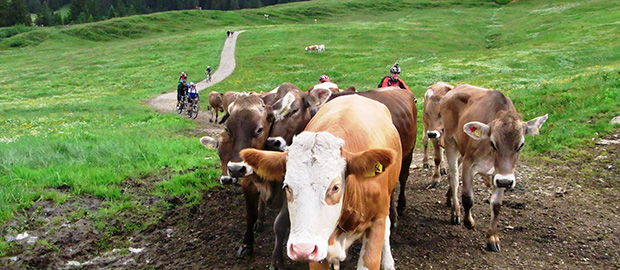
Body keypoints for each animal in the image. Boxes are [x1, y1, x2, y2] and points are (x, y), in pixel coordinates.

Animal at [438, 84, 548, 251]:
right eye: (492, 142)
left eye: (521, 145)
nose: (505, 182)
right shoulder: (469, 164)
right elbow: (468, 198)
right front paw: (469, 222)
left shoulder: (501, 174)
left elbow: (496, 205)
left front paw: (492, 238)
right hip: (451, 142)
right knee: (454, 177)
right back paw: (455, 212)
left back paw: (449, 198)